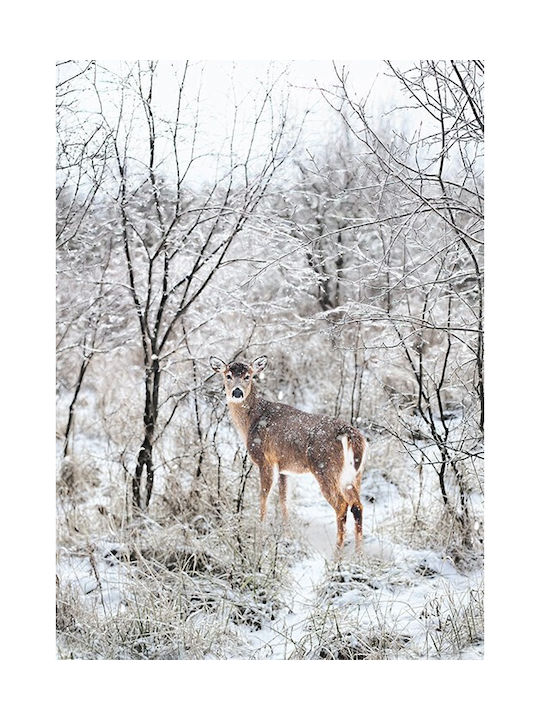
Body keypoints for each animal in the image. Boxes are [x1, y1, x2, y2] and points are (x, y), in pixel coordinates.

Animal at [209, 355, 368, 550]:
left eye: (248, 376)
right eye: (228, 375)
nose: (237, 392)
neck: (251, 422)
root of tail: (351, 435)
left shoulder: (265, 460)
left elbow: (264, 497)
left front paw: (260, 534)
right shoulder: (284, 467)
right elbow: (284, 500)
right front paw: (287, 536)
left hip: (325, 468)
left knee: (342, 505)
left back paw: (337, 552)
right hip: (354, 475)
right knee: (357, 505)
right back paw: (358, 553)